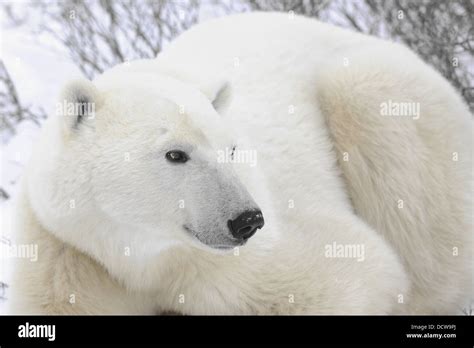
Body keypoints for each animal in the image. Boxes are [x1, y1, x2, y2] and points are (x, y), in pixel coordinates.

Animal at [7, 12, 470, 316]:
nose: (247, 220)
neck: (140, 260)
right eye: (176, 154)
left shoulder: (235, 266)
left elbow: (355, 274)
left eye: (231, 150)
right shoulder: (66, 252)